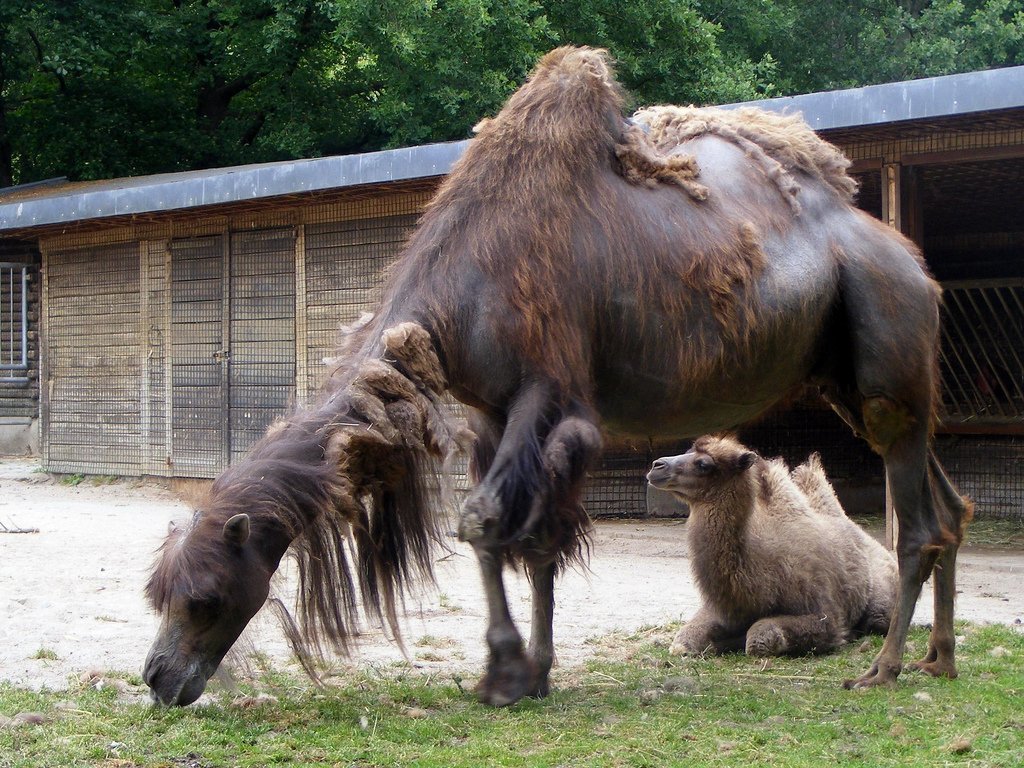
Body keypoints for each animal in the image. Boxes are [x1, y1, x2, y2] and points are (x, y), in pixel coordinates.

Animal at [647, 436, 897, 659]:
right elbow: (682, 642)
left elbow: (759, 637)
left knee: (877, 619)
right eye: (688, 450)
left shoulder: (824, 614)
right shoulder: (724, 611)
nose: (656, 466)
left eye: (703, 464)